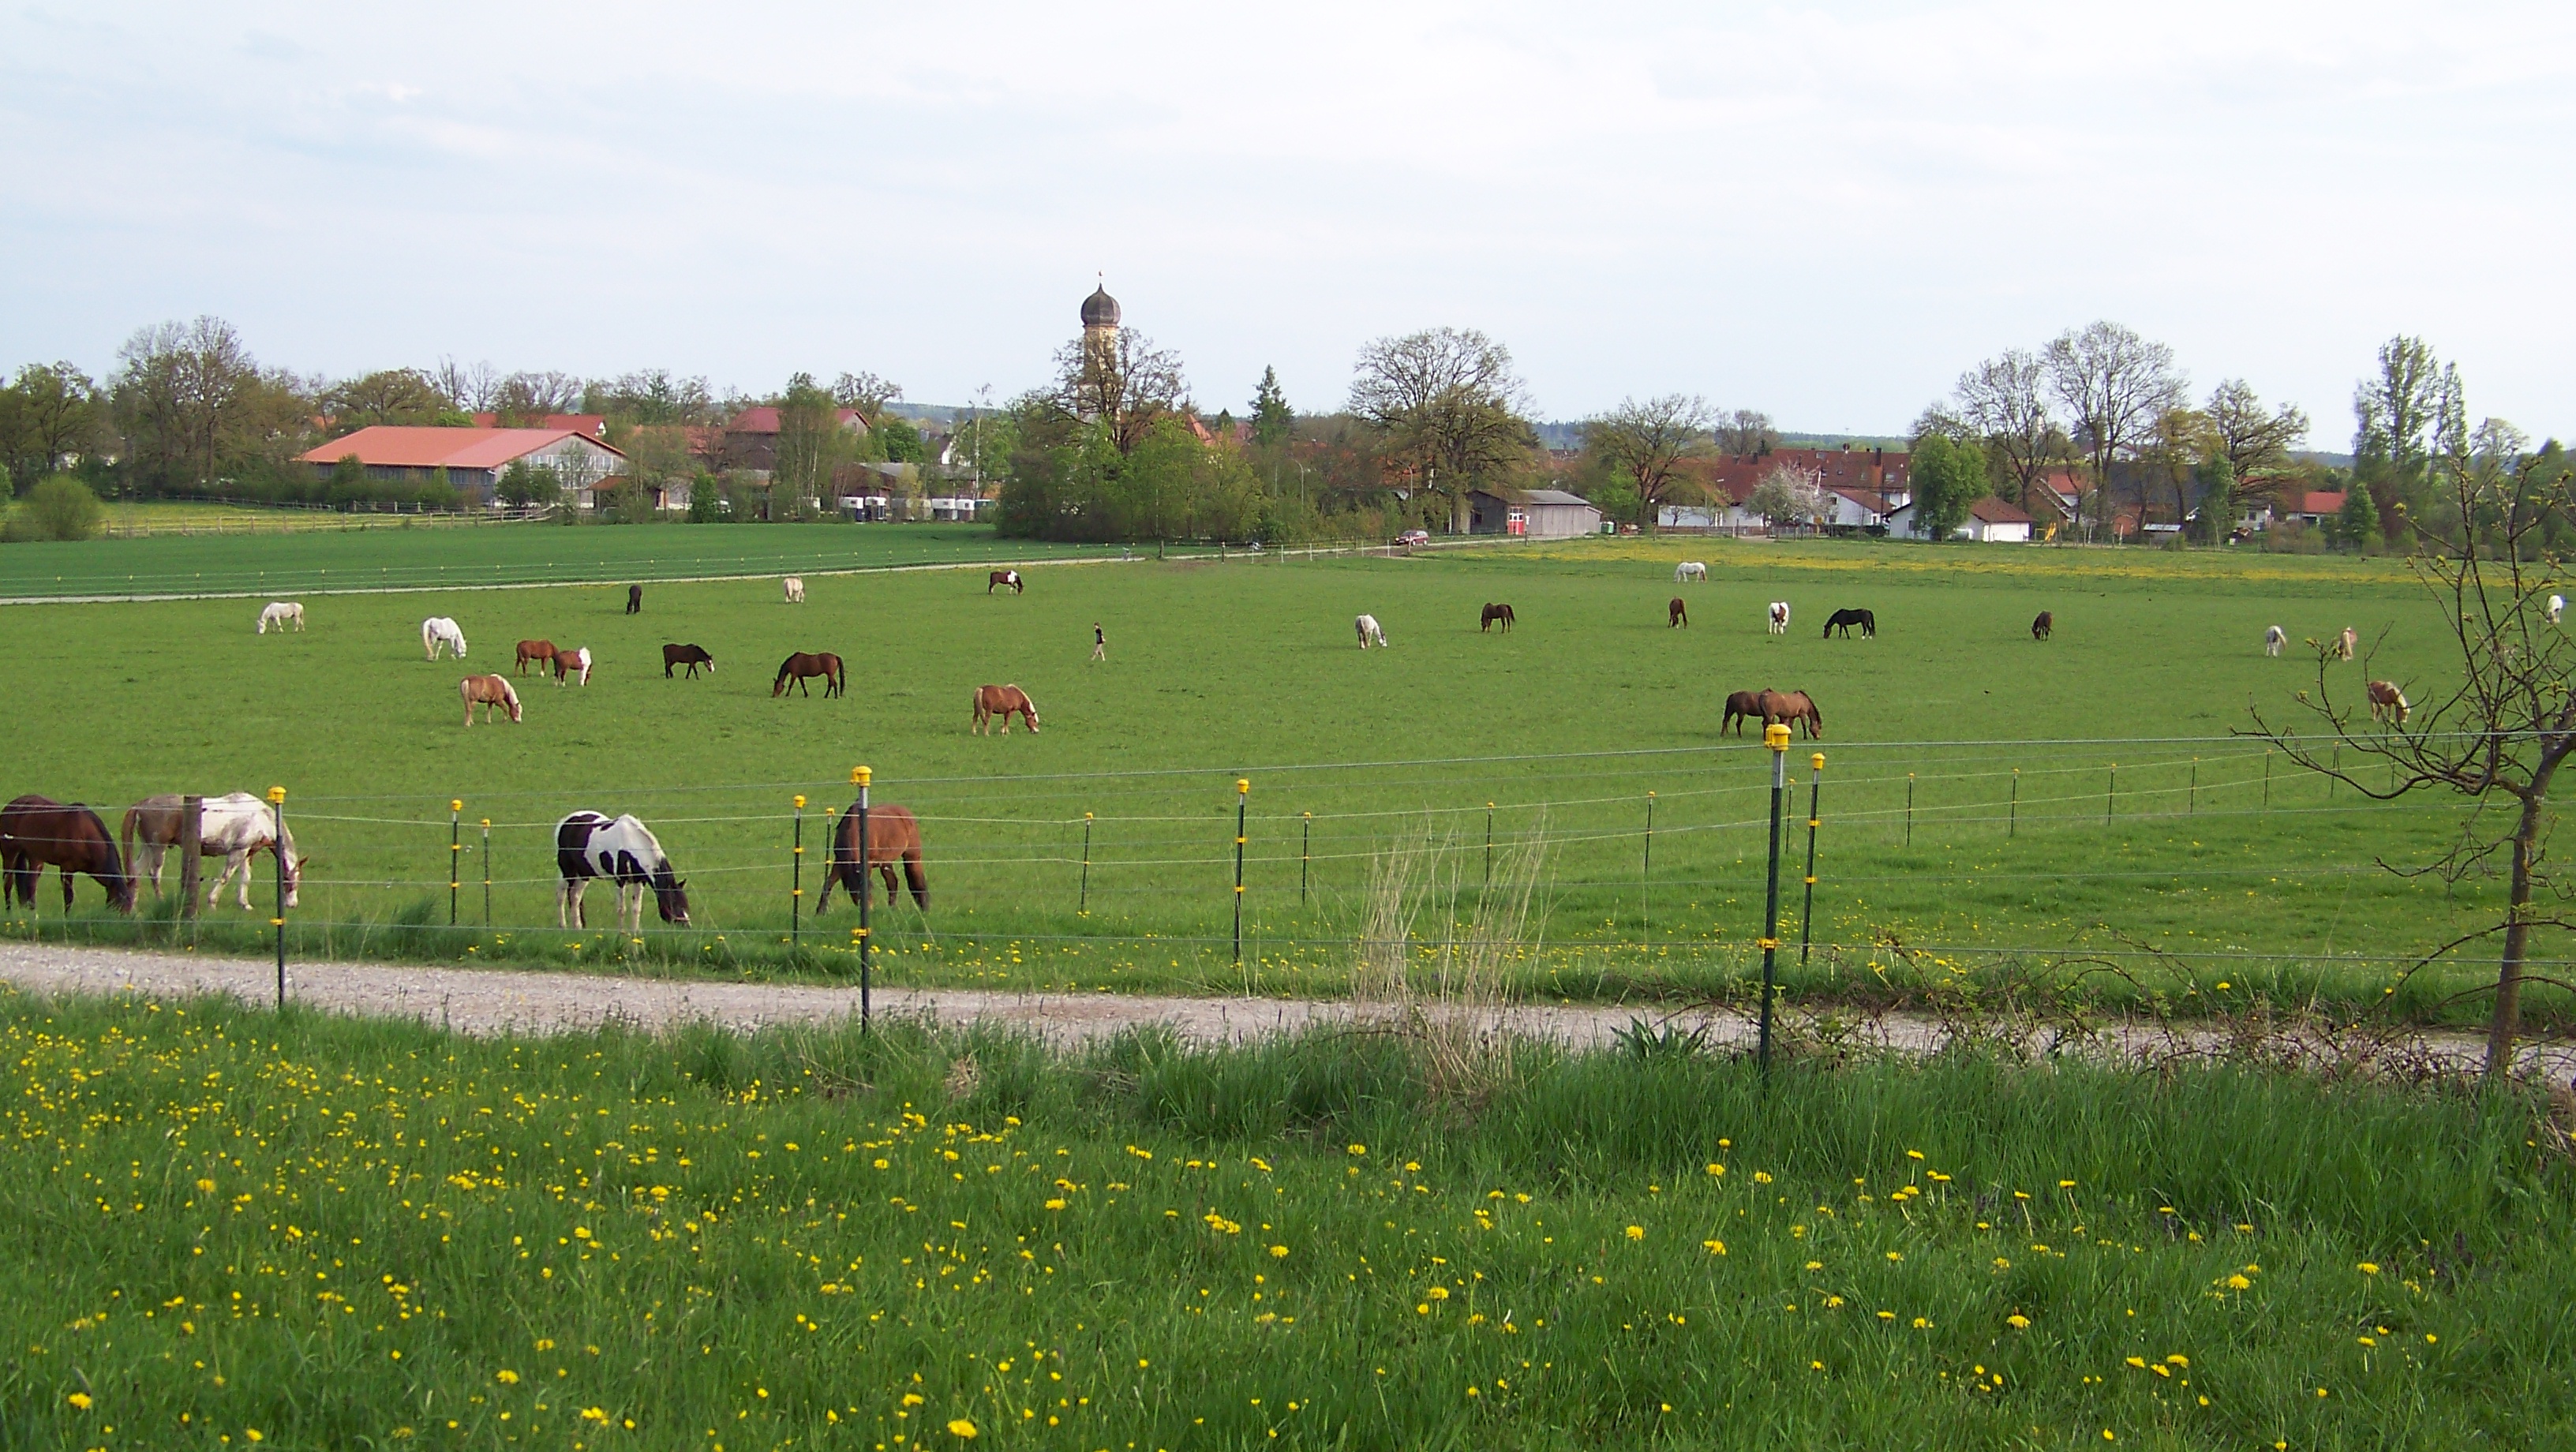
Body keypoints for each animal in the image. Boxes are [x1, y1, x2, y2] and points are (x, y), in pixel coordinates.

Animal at [0, 798, 133, 911]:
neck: (84, 835)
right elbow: (69, 897)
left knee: (30, 885)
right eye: (120, 906)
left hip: (33, 857)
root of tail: (8, 807)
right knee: (8, 884)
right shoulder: (66, 867)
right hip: (10, 855)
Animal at [121, 792, 304, 906]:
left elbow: (245, 878)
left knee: (136, 872)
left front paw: (244, 904)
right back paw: (160, 900)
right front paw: (212, 901)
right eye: (290, 882)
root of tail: (143, 804)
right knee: (154, 873)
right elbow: (226, 876)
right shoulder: (238, 851)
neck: (260, 817)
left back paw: (133, 905)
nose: (293, 904)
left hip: (148, 848)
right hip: (159, 848)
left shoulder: (247, 853)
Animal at [556, 813, 695, 937]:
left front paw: (635, 933)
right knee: (562, 895)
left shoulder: (640, 881)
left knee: (575, 897)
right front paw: (621, 933)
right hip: (568, 871)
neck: (631, 845)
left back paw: (578, 927)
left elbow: (636, 908)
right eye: (673, 905)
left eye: (686, 905)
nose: (687, 927)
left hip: (584, 874)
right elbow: (621, 909)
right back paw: (564, 927)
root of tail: (565, 821)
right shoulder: (620, 880)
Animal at [818, 803, 932, 906]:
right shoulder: (840, 861)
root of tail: (906, 812)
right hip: (886, 862)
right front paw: (820, 912)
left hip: (912, 857)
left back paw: (925, 908)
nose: (869, 908)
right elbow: (828, 884)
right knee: (892, 883)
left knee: (918, 881)